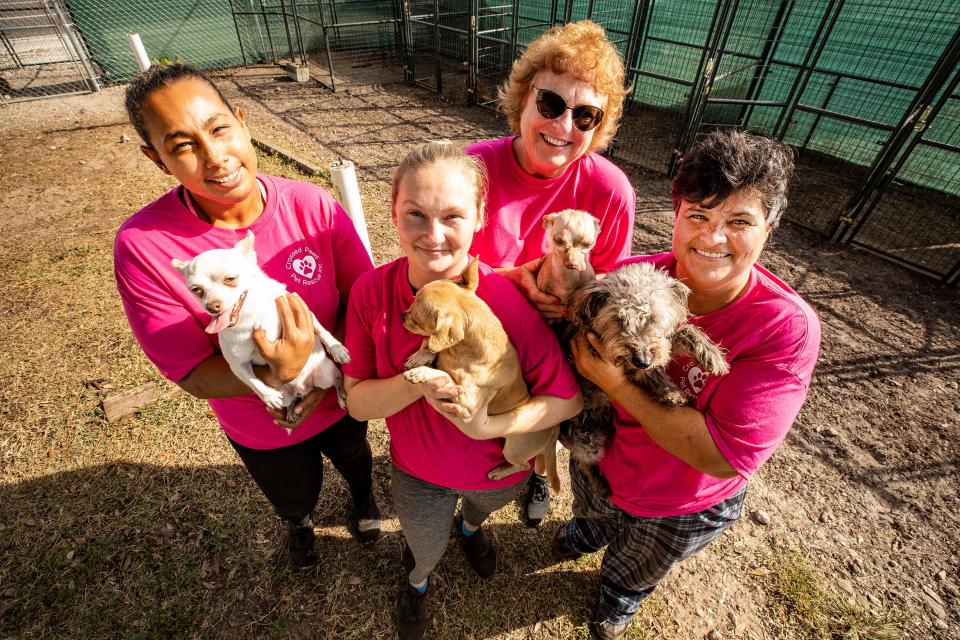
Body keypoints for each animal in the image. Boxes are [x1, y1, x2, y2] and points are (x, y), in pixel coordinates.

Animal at [400, 255, 564, 490]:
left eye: (416, 315)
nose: (402, 315)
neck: (462, 352)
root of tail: (554, 430)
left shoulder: (467, 403)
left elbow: (445, 375)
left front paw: (421, 372)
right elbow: (436, 349)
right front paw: (422, 356)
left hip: (513, 448)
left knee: (524, 465)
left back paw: (500, 472)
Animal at [564, 262, 728, 498]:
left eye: (654, 319)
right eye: (619, 319)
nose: (642, 360)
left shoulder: (659, 344)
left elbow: (680, 333)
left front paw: (712, 355)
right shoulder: (616, 359)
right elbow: (650, 372)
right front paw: (671, 393)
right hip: (587, 439)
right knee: (584, 460)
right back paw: (599, 483)